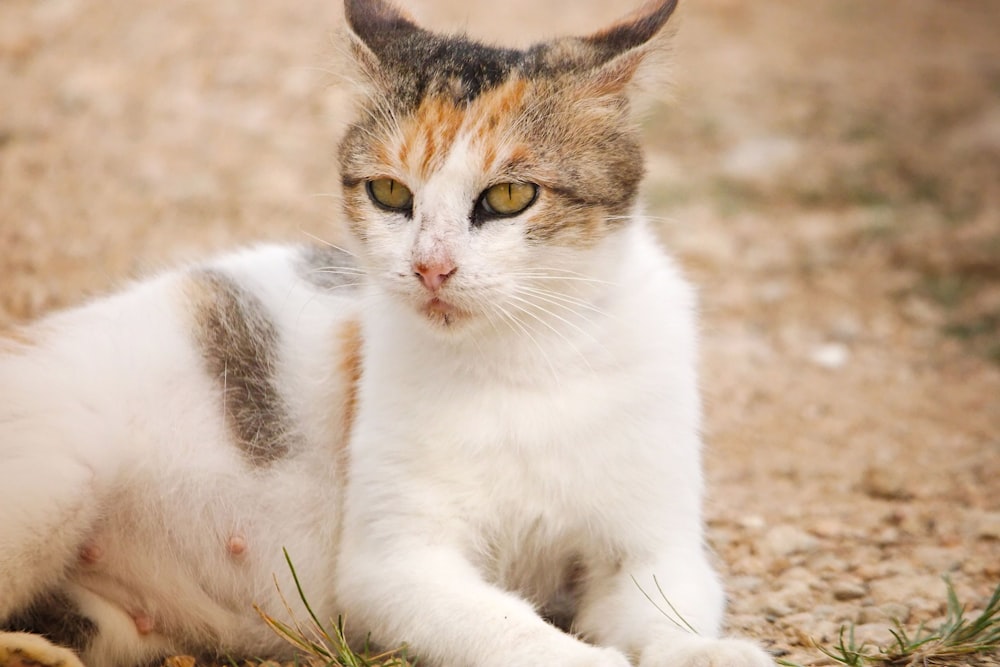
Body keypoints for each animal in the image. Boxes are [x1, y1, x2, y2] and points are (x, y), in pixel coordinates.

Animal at [0, 0, 772, 664]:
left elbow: (664, 605)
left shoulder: (654, 543)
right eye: (390, 193)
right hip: (58, 479)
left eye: (510, 196)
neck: (526, 355)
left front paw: (705, 650)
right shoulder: (394, 565)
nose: (430, 267)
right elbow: (507, 627)